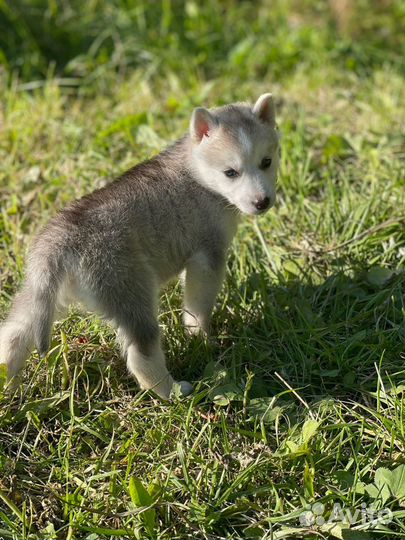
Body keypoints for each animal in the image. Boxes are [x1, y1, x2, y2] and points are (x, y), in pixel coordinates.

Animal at [0, 94, 278, 396]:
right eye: (230, 172)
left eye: (266, 161)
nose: (262, 202)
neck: (197, 173)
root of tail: (59, 240)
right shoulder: (208, 256)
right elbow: (198, 309)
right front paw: (203, 340)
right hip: (131, 292)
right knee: (140, 354)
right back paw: (173, 392)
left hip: (42, 297)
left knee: (13, 334)